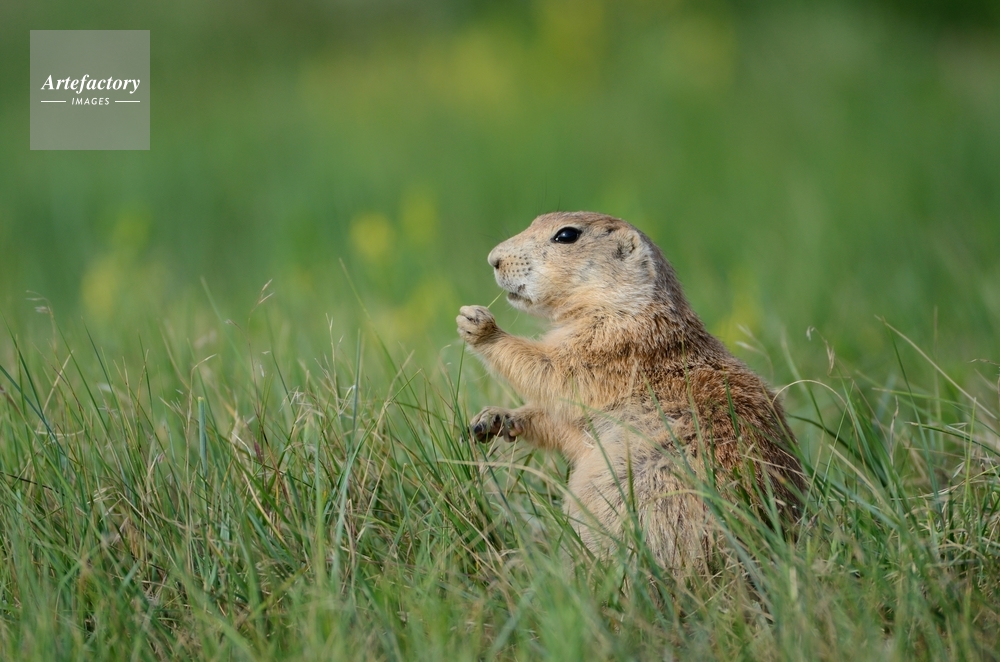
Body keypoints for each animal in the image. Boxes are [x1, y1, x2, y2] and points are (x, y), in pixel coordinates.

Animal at [457, 211, 805, 571]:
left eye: (566, 235)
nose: (493, 259)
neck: (621, 306)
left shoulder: (605, 349)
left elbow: (552, 372)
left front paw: (478, 324)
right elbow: (558, 421)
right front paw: (491, 419)